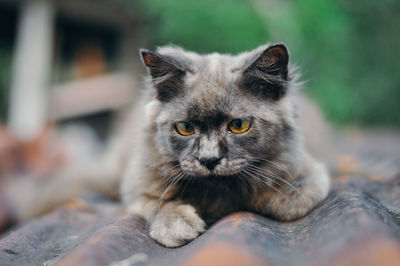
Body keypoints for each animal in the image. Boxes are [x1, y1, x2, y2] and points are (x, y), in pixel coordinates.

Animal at [119, 42, 332, 246]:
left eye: (238, 125)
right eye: (185, 127)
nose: (209, 159)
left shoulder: (310, 172)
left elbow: (287, 201)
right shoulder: (138, 182)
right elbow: (158, 202)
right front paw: (176, 225)